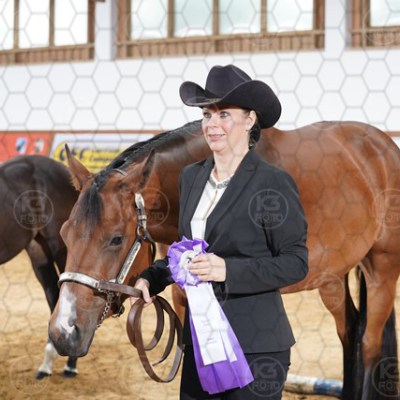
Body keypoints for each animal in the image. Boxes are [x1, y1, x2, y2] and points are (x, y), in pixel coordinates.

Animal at [48, 120, 400, 399]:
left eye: (116, 238)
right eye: (65, 233)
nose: (62, 333)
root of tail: (383, 146)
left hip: (382, 267)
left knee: (369, 342)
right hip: (331, 277)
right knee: (350, 331)